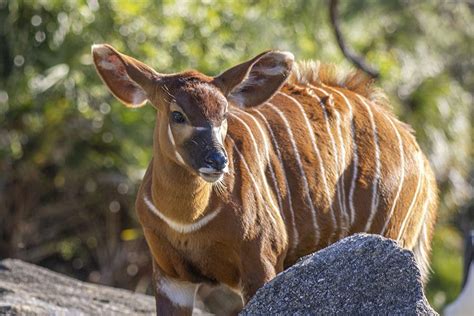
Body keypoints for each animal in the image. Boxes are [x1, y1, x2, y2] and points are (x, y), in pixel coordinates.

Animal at [91, 44, 436, 316]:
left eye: (224, 114)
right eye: (178, 114)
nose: (217, 161)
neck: (188, 220)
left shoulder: (261, 263)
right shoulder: (170, 276)